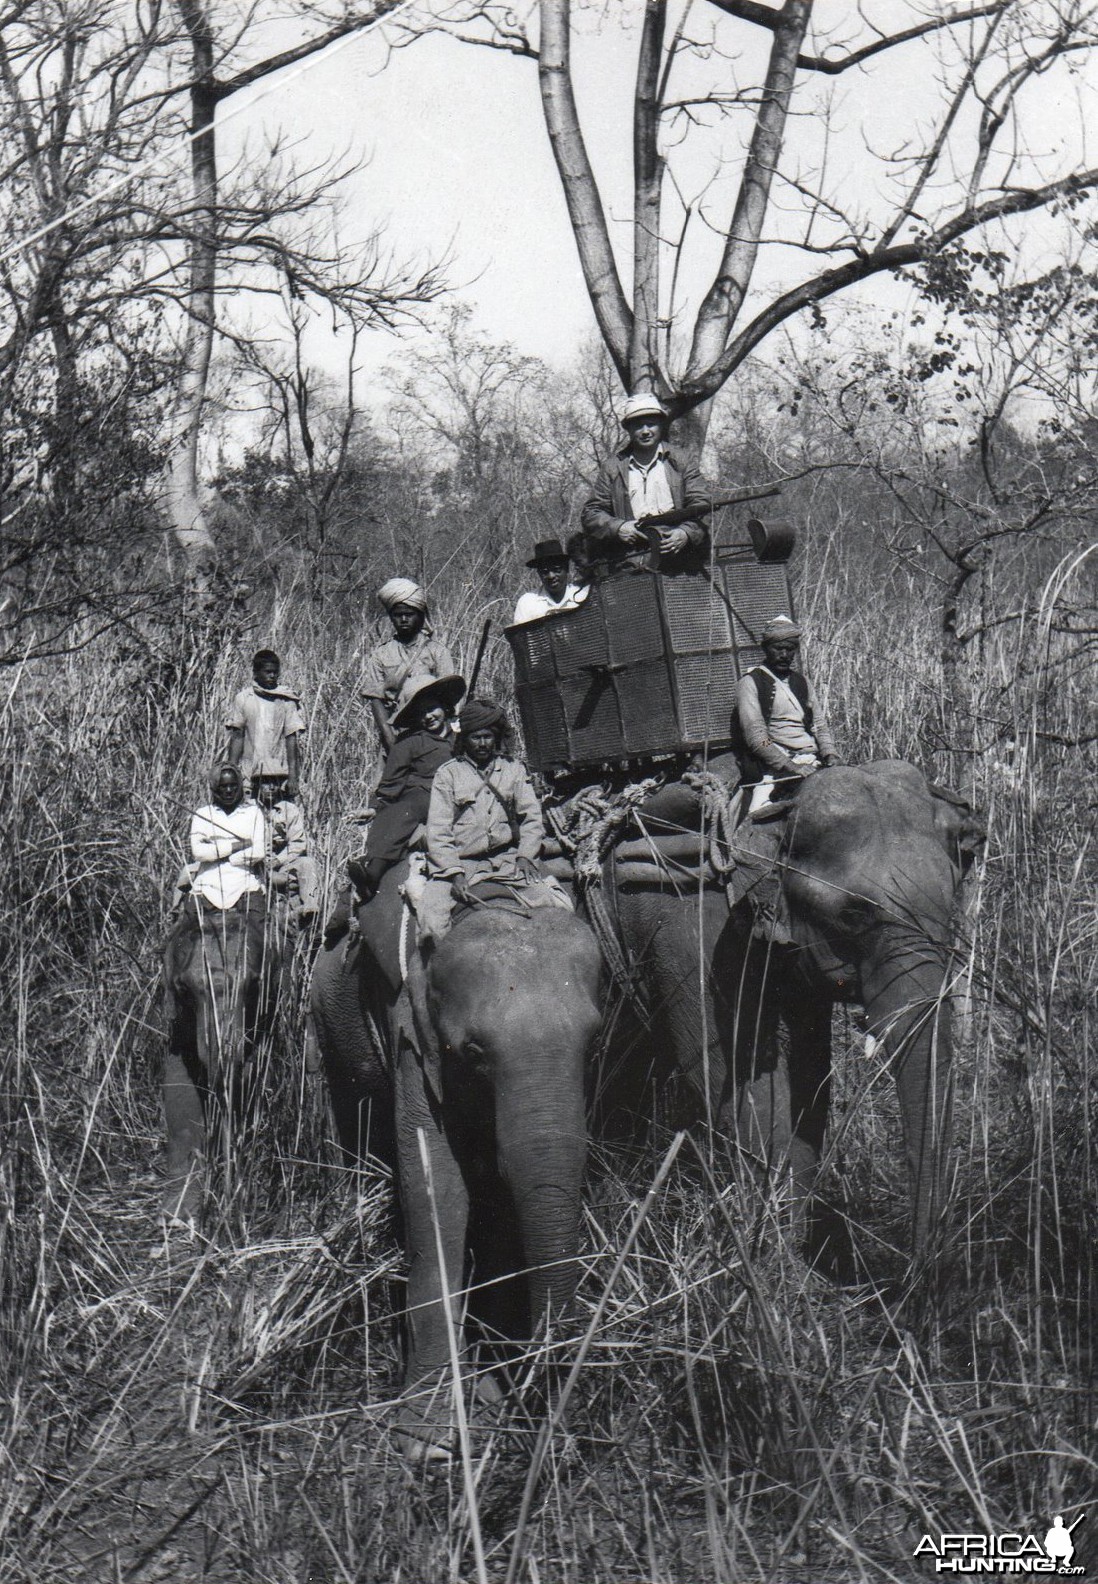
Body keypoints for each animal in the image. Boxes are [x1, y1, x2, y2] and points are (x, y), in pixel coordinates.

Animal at [305, 887, 598, 1450]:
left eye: (593, 1045)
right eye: (474, 1050)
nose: (559, 1429)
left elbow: (497, 1191)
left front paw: (493, 1395)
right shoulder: (410, 1034)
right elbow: (437, 1187)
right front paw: (430, 1439)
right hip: (326, 1021)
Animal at [605, 760, 982, 1267]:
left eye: (949, 906)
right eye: (853, 915)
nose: (915, 1274)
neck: (777, 809)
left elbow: (808, 1081)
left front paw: (794, 1259)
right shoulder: (694, 930)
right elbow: (748, 1088)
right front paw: (779, 1267)